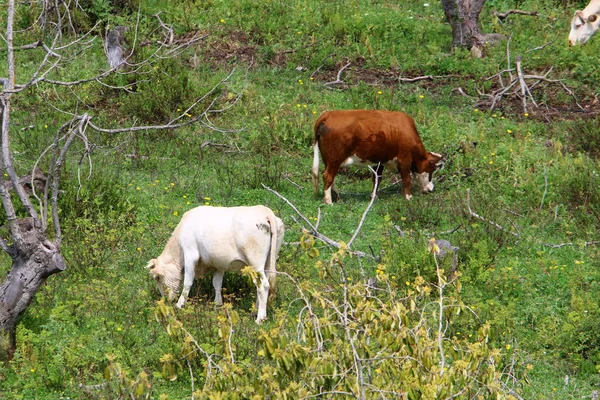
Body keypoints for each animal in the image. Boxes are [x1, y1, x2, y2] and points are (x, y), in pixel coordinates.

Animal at [146, 205, 284, 324]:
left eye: (157, 277)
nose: (165, 300)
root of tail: (264, 210)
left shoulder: (190, 254)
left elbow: (188, 282)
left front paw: (179, 305)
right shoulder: (220, 264)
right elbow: (217, 284)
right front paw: (217, 305)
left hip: (255, 261)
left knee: (263, 286)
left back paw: (259, 318)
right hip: (268, 262)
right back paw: (255, 312)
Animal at [312, 108, 442, 205]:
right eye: (432, 170)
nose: (431, 189)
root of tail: (328, 115)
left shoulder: (379, 161)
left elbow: (377, 179)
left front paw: (373, 197)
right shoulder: (404, 159)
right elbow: (406, 179)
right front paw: (408, 197)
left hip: (328, 160)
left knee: (330, 177)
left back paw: (338, 198)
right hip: (335, 159)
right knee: (328, 176)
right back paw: (329, 201)